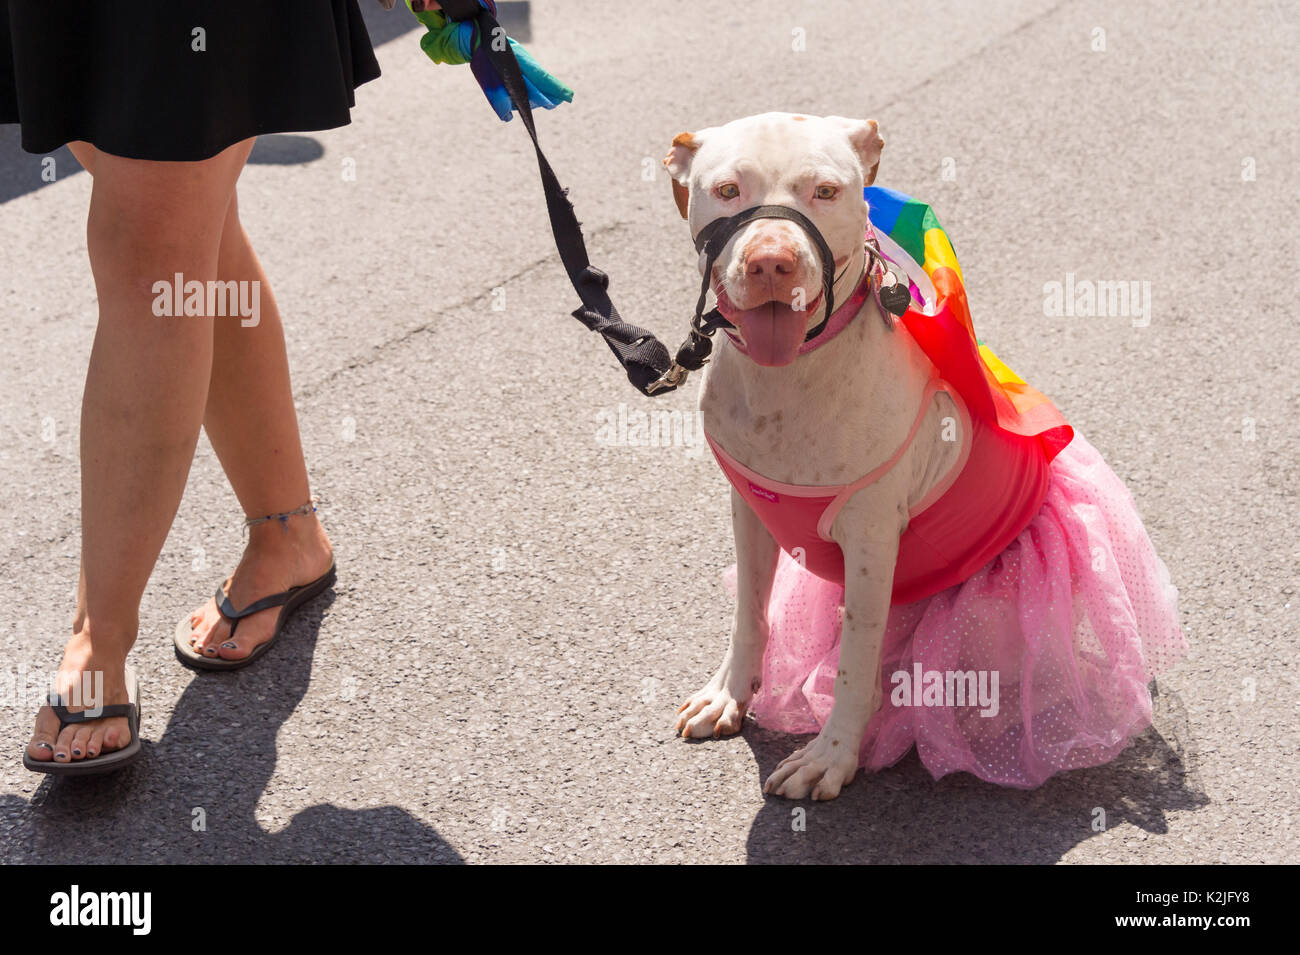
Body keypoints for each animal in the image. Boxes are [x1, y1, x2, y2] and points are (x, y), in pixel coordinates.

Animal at [670, 111, 967, 800]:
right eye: (727, 191)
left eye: (826, 192)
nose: (771, 263)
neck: (790, 376)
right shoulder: (750, 512)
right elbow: (750, 609)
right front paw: (730, 693)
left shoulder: (872, 541)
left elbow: (857, 659)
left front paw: (832, 754)